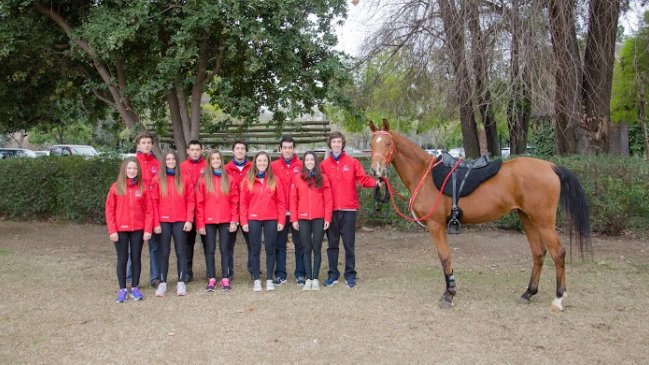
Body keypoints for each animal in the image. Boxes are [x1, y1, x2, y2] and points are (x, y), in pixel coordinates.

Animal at [368, 118, 588, 310]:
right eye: (371, 144)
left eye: (388, 143)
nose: (375, 170)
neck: (425, 174)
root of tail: (550, 166)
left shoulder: (436, 224)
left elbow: (445, 257)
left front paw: (449, 294)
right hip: (527, 218)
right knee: (538, 253)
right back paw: (528, 293)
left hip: (543, 221)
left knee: (558, 253)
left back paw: (558, 298)